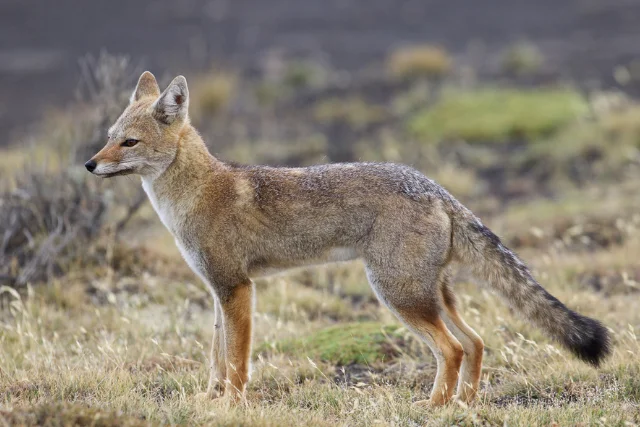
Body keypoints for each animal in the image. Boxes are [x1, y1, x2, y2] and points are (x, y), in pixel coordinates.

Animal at [86, 71, 610, 406]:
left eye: (128, 143)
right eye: (108, 136)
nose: (90, 165)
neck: (196, 192)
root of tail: (437, 189)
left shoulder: (237, 288)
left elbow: (236, 363)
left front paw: (229, 407)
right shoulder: (219, 291)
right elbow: (216, 358)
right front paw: (207, 401)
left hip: (399, 295)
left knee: (454, 349)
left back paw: (433, 409)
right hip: (430, 295)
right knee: (477, 342)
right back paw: (463, 406)